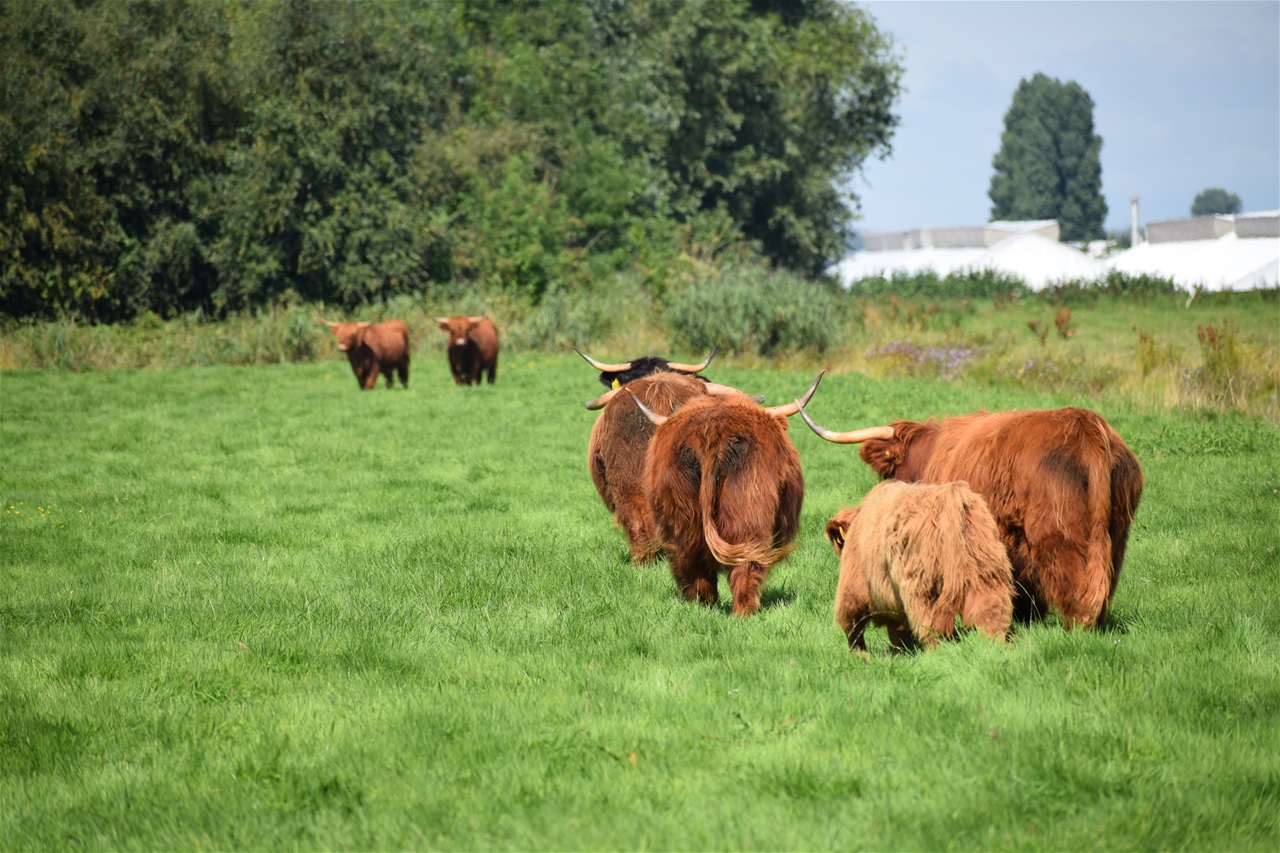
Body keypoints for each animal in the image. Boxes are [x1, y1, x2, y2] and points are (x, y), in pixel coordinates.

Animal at [629, 371, 819, 612]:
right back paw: (745, 610)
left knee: (690, 559)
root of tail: (711, 434)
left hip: (681, 515)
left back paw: (703, 604)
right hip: (748, 511)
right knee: (746, 564)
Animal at [824, 479, 1013, 650]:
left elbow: (853, 628)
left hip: (923, 589)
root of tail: (951, 494)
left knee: (932, 629)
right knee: (991, 617)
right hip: (987, 576)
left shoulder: (853, 587)